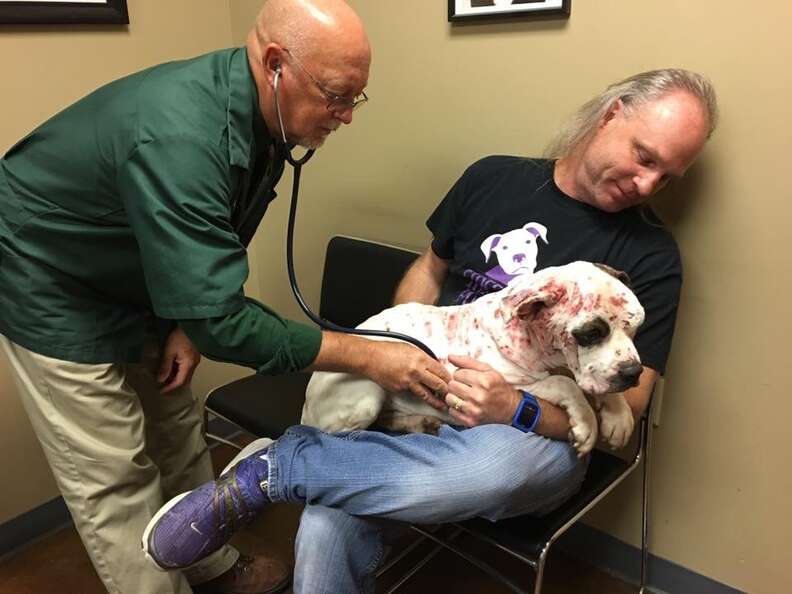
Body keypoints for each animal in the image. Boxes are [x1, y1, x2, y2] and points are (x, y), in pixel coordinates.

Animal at [302, 260, 644, 454]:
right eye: (590, 333)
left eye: (637, 326)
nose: (633, 373)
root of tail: (306, 403)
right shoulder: (505, 381)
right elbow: (566, 385)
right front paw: (587, 422)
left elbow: (588, 382)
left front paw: (618, 415)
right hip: (369, 390)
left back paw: (419, 422)